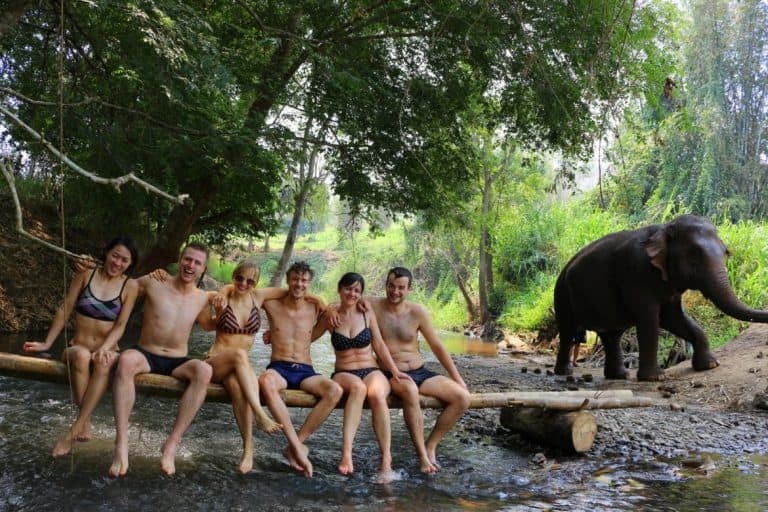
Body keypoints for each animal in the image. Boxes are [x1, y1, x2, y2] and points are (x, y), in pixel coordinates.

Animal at [552, 215, 768, 380]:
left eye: (726, 252)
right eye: (694, 256)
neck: (664, 228)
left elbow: (673, 318)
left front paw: (710, 365)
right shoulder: (636, 273)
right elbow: (650, 318)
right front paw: (655, 377)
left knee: (611, 335)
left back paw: (619, 376)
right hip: (561, 294)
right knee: (568, 331)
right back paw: (565, 372)